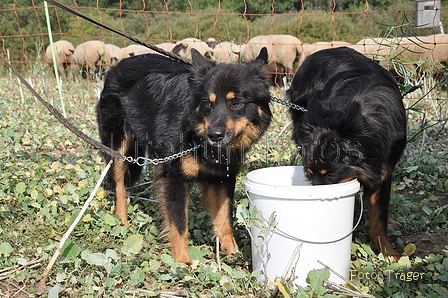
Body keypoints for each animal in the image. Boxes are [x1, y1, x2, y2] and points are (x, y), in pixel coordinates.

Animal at [96, 47, 272, 264]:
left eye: (236, 103)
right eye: (208, 104)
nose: (214, 135)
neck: (196, 133)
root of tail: (117, 65)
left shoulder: (224, 177)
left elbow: (224, 218)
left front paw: (232, 252)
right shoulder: (174, 178)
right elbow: (180, 224)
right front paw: (182, 261)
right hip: (119, 149)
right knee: (119, 185)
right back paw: (122, 222)